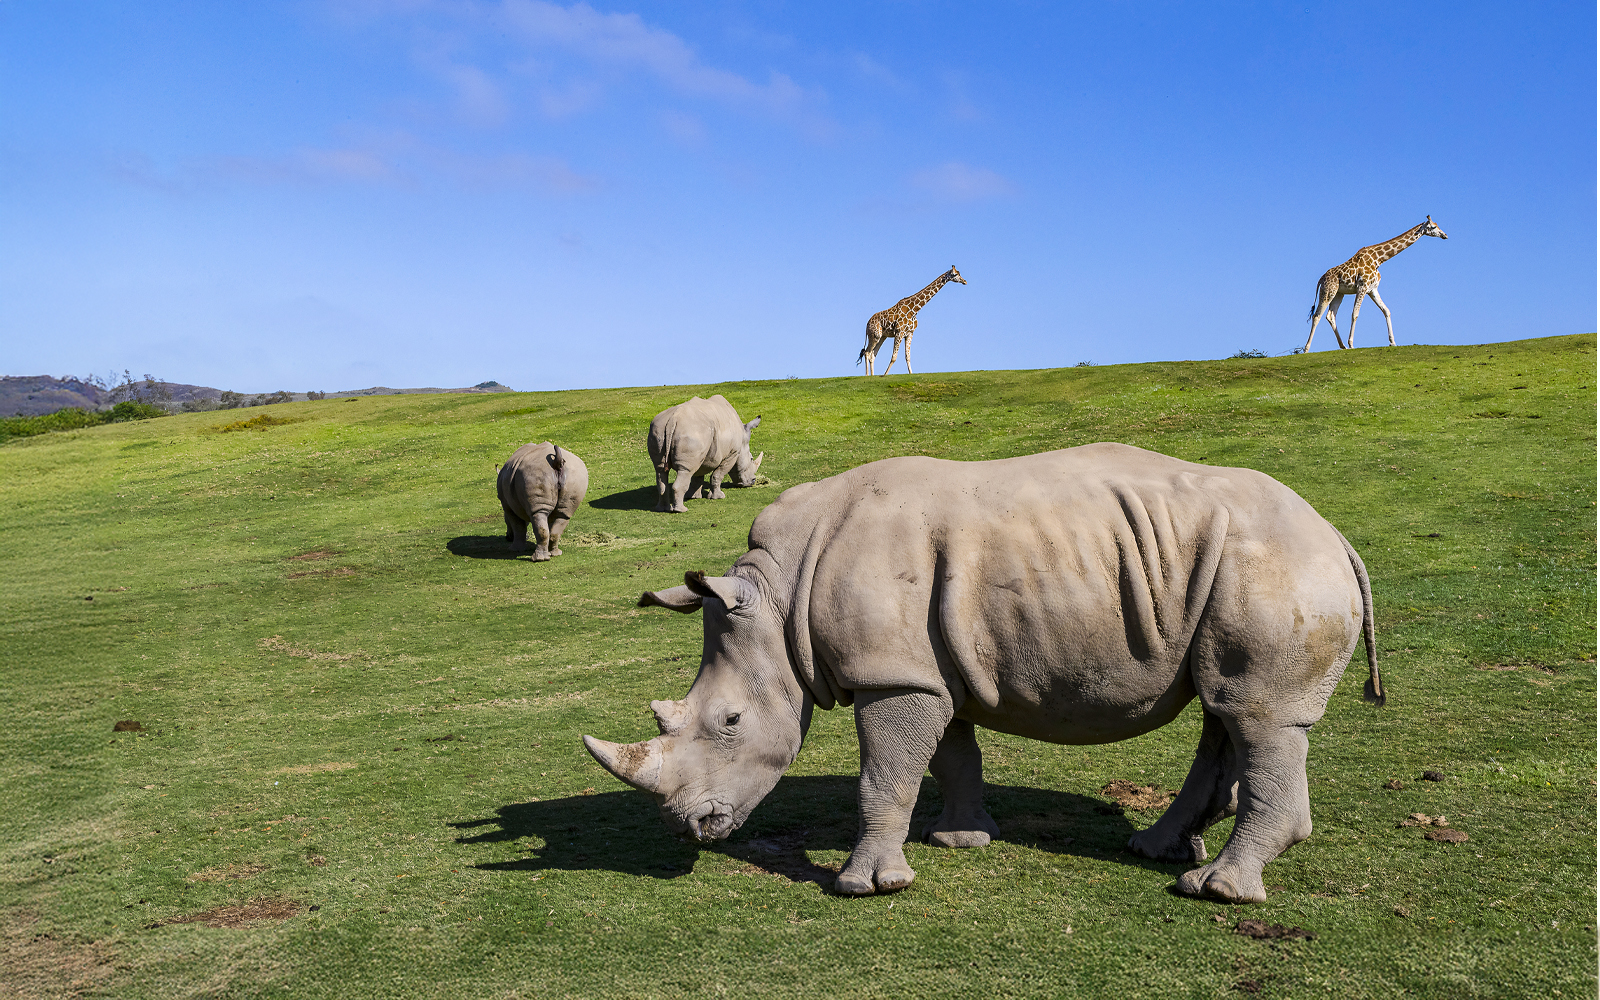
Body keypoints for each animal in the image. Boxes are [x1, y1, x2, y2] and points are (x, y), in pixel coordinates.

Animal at [584, 443, 1382, 903]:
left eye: (730, 722)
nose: (690, 828)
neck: (779, 599)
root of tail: (1336, 534)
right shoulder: (926, 669)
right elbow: (949, 755)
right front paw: (961, 840)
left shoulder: (894, 674)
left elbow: (884, 774)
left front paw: (865, 885)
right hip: (1230, 568)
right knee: (1225, 707)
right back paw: (1157, 850)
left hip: (1278, 566)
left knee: (1257, 715)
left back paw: (1215, 891)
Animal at [1305, 217, 1447, 352]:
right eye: (1433, 227)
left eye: (1437, 225)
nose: (1445, 235)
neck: (1379, 259)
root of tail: (1321, 279)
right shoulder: (1362, 287)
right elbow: (1355, 313)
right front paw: (1351, 344)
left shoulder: (1372, 289)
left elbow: (1386, 310)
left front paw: (1392, 342)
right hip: (1328, 291)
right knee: (1317, 316)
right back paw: (1307, 348)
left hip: (1339, 293)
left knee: (1330, 315)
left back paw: (1342, 346)